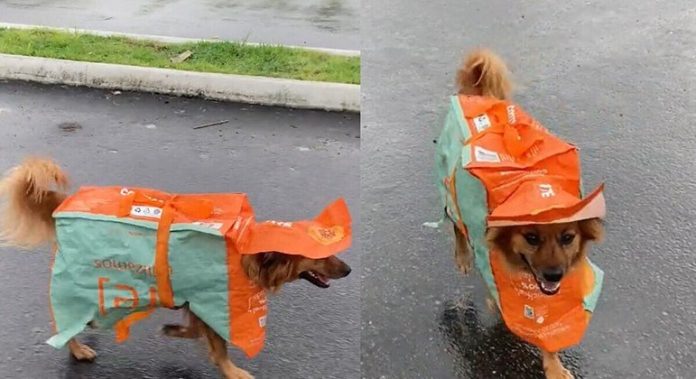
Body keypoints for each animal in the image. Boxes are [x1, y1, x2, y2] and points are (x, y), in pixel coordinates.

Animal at [0, 158, 350, 379]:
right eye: (322, 255)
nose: (348, 269)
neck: (251, 253)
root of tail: (61, 204)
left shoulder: (197, 302)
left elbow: (197, 330)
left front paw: (174, 330)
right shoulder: (212, 302)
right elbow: (220, 347)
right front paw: (232, 371)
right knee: (63, 320)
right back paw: (77, 348)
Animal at [452, 50, 604, 379]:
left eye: (568, 237)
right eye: (531, 237)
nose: (554, 275)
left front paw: (554, 365)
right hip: (450, 191)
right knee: (455, 224)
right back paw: (462, 256)